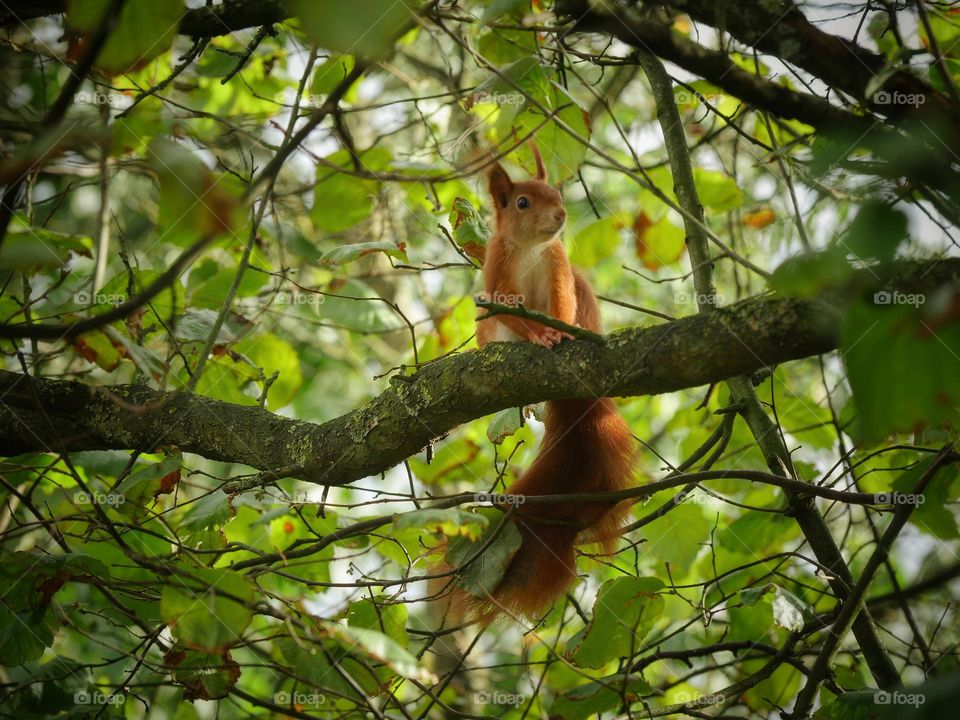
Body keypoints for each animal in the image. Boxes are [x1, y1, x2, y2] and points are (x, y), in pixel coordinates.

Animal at [440, 144, 637, 626]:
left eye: (558, 194)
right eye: (522, 202)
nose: (561, 215)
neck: (531, 248)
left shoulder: (558, 268)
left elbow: (561, 304)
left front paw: (558, 334)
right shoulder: (497, 273)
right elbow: (508, 310)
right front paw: (538, 337)